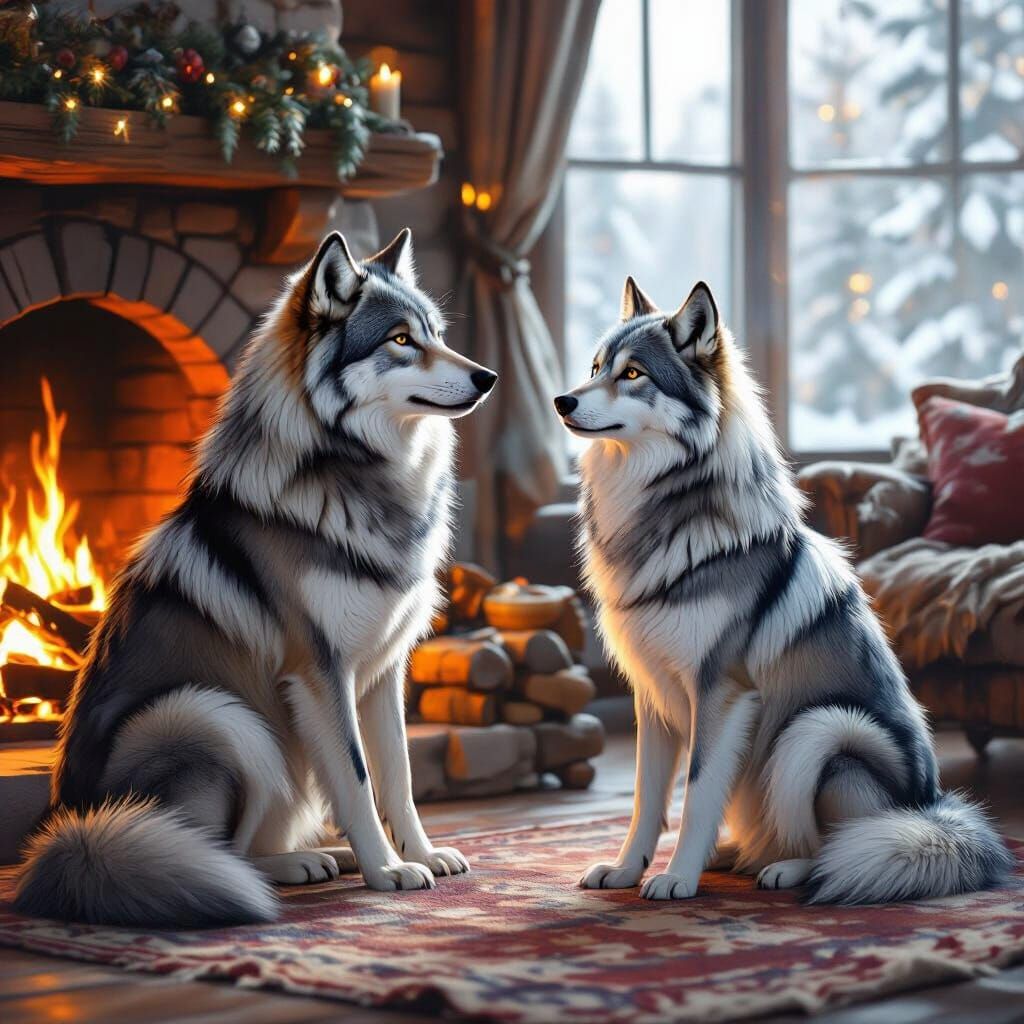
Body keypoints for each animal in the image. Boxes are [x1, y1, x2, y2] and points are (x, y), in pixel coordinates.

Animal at [15, 229, 497, 927]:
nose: (488, 377)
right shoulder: (320, 673)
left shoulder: (384, 670)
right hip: (214, 714)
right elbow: (357, 777)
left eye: (434, 333)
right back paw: (288, 868)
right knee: (214, 850)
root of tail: (70, 831)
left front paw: (420, 854)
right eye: (400, 340)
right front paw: (387, 872)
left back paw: (324, 857)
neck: (358, 476)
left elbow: (400, 778)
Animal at [554, 277, 1011, 903]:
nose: (562, 401)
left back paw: (788, 869)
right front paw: (627, 870)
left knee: (836, 847)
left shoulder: (721, 692)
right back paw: (736, 855)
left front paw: (677, 879)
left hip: (819, 730)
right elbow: (647, 800)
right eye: (596, 367)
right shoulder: (651, 695)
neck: (661, 512)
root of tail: (933, 809)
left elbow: (697, 794)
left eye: (633, 374)